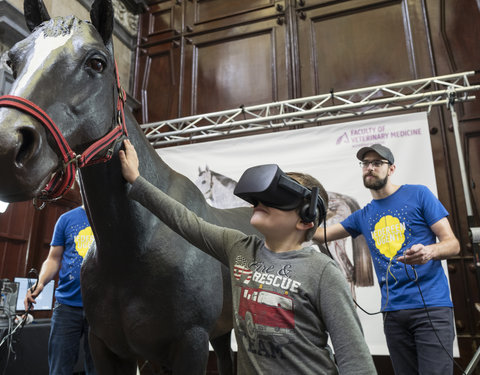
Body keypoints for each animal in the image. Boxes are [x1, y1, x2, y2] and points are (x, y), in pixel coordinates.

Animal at [0, 1, 256, 374]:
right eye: (12, 60)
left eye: (97, 63)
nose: (7, 147)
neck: (132, 245)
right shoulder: (108, 348)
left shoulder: (190, 343)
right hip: (221, 334)